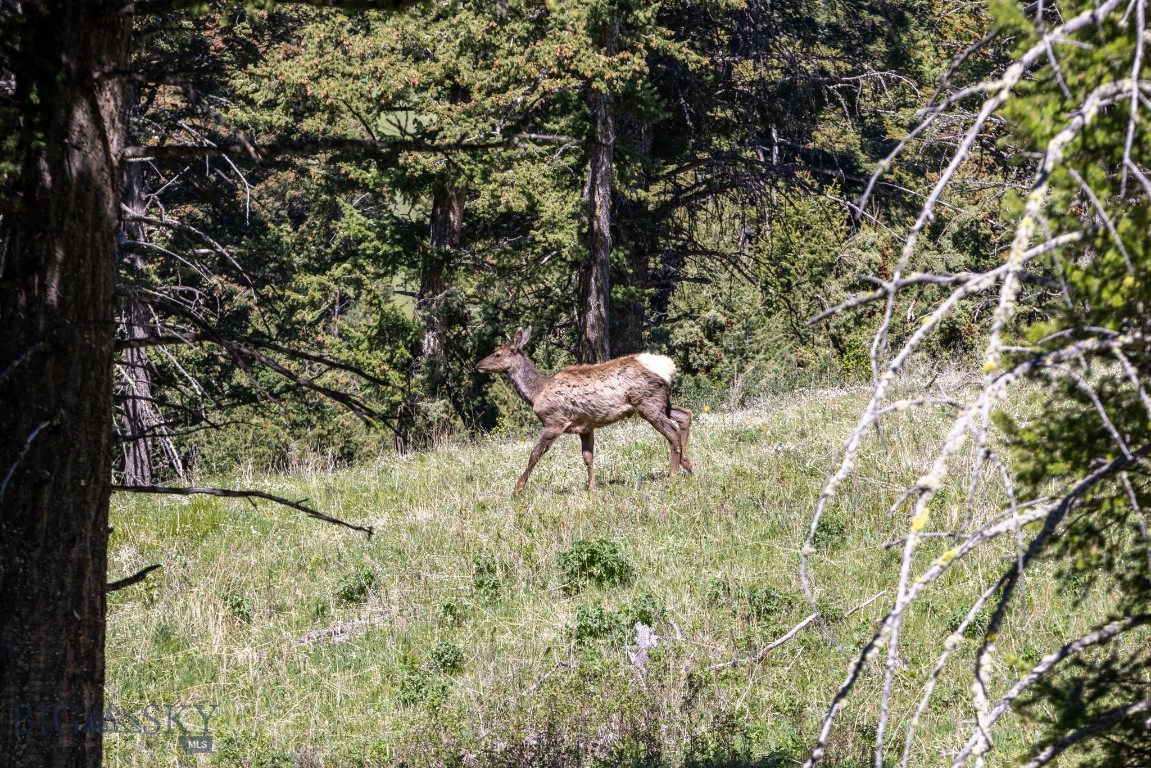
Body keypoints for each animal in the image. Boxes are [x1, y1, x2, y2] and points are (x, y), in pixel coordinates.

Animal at [476, 327, 693, 493]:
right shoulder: (586, 426)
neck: (537, 392)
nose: (478, 365)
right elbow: (588, 457)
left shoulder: (553, 422)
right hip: (661, 402)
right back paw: (687, 464)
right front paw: (592, 487)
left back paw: (673, 474)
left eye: (497, 353)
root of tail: (669, 367)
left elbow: (535, 454)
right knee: (685, 415)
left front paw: (517, 489)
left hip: (648, 404)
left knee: (672, 431)